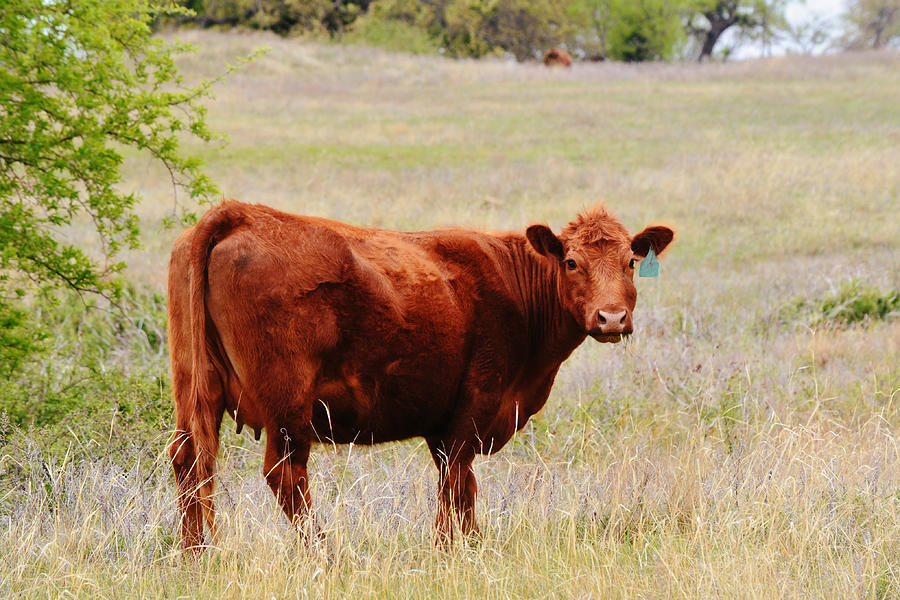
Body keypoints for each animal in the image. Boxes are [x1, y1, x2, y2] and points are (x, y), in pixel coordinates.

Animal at [169, 200, 676, 548]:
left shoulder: (444, 423)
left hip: (195, 386)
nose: (611, 318)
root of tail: (241, 214)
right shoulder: (475, 406)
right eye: (571, 262)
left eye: (631, 262)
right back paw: (327, 555)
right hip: (288, 406)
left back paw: (198, 555)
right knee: (286, 475)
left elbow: (463, 487)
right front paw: (447, 550)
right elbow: (455, 485)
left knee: (191, 460)